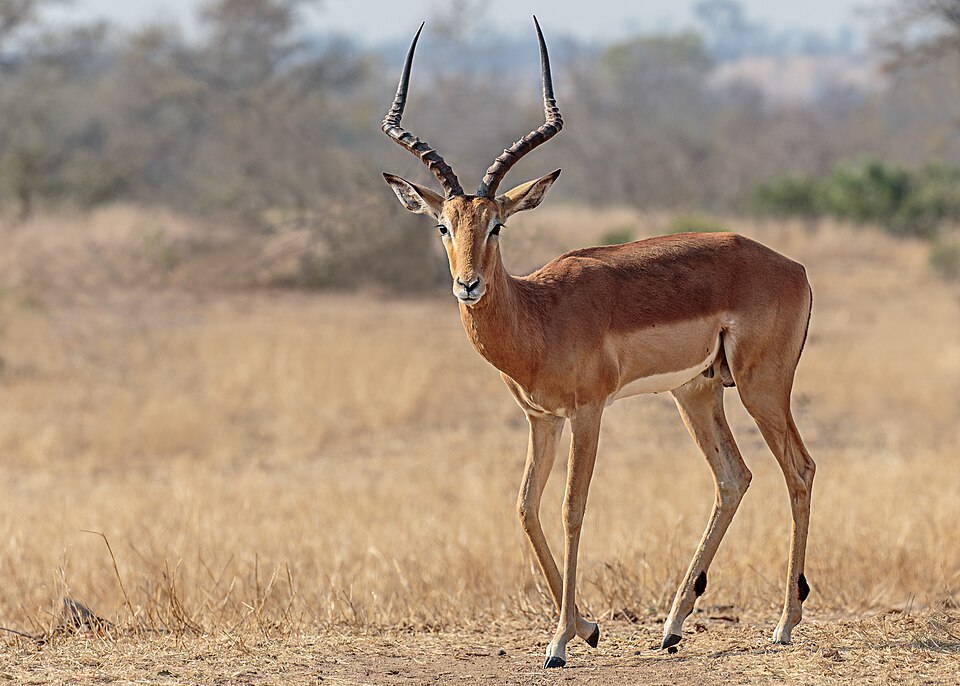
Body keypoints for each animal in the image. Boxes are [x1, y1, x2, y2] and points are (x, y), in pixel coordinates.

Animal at [381, 18, 816, 669]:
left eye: (497, 224)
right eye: (443, 225)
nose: (468, 285)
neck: (538, 316)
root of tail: (795, 268)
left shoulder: (588, 413)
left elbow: (571, 508)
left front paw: (561, 642)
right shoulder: (541, 419)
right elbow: (525, 506)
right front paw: (586, 628)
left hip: (762, 387)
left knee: (799, 469)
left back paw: (784, 624)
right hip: (697, 392)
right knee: (733, 477)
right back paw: (672, 627)